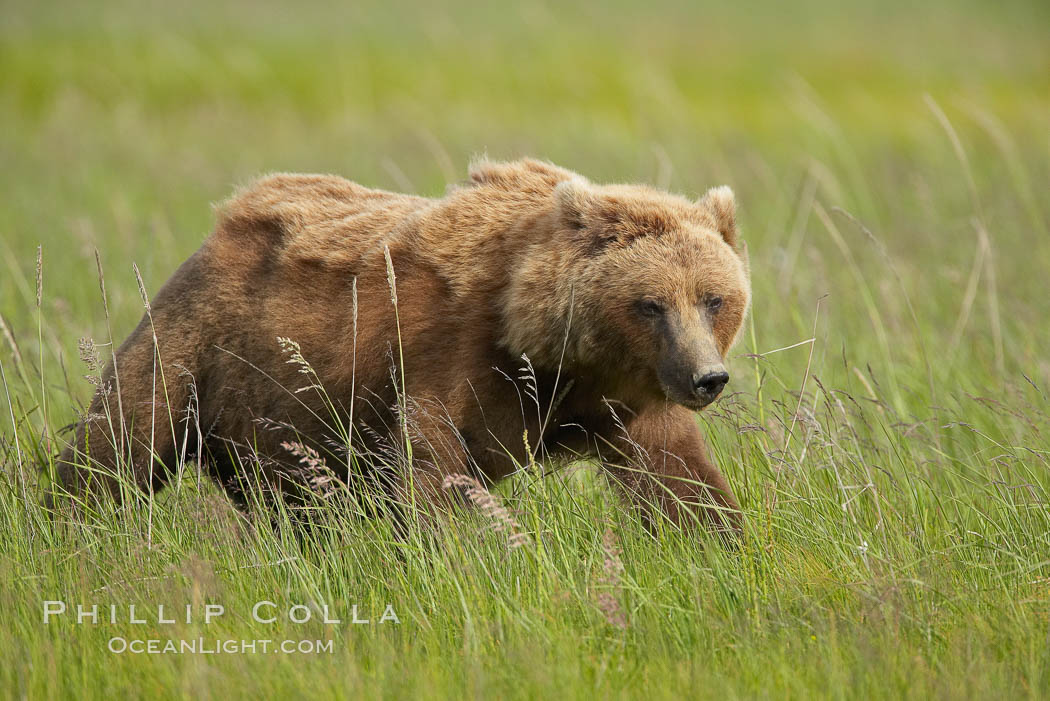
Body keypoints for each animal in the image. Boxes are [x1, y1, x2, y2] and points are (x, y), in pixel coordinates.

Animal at [55, 160, 747, 537]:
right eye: (650, 304)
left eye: (713, 298)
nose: (708, 378)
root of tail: (220, 227)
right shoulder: (444, 357)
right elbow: (433, 468)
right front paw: (467, 546)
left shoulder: (625, 401)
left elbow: (681, 478)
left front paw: (721, 544)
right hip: (197, 344)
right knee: (118, 444)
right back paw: (68, 525)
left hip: (276, 418)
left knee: (297, 504)